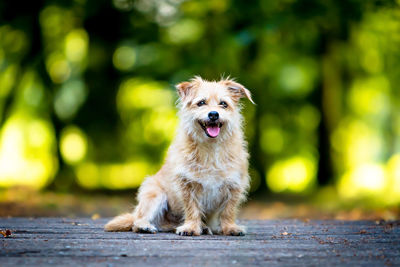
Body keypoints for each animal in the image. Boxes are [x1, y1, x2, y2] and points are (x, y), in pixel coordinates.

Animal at [103, 76, 253, 237]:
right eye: (201, 103)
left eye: (223, 104)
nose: (213, 114)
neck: (210, 148)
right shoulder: (186, 184)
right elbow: (192, 208)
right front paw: (191, 227)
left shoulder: (235, 185)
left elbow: (228, 211)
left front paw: (230, 227)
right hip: (154, 195)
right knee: (138, 220)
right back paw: (145, 226)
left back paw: (204, 227)